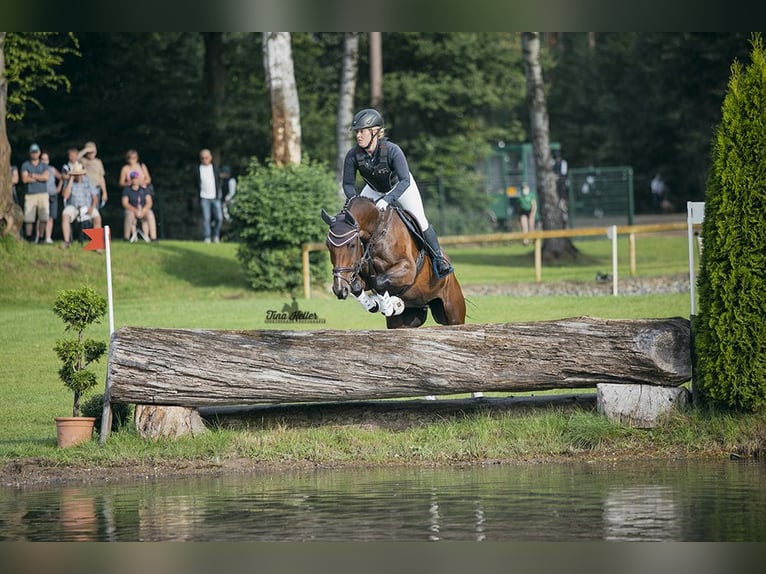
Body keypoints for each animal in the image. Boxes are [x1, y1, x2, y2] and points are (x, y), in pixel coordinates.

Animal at [320, 196, 464, 328]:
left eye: (351, 245)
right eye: (328, 245)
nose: (339, 289)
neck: (376, 232)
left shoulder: (408, 269)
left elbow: (379, 282)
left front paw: (388, 306)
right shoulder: (362, 276)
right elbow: (357, 286)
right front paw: (374, 304)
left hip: (453, 312)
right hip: (406, 320)